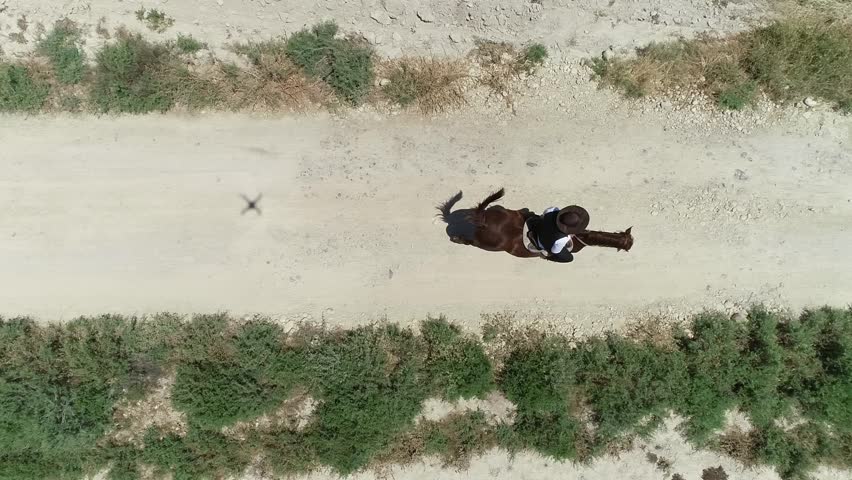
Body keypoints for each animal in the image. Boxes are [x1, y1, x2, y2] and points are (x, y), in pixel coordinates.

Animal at [436, 188, 633, 259]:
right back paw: (457, 238)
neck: (580, 237)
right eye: (629, 243)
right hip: (488, 245)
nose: (631, 247)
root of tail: (484, 220)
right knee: (469, 241)